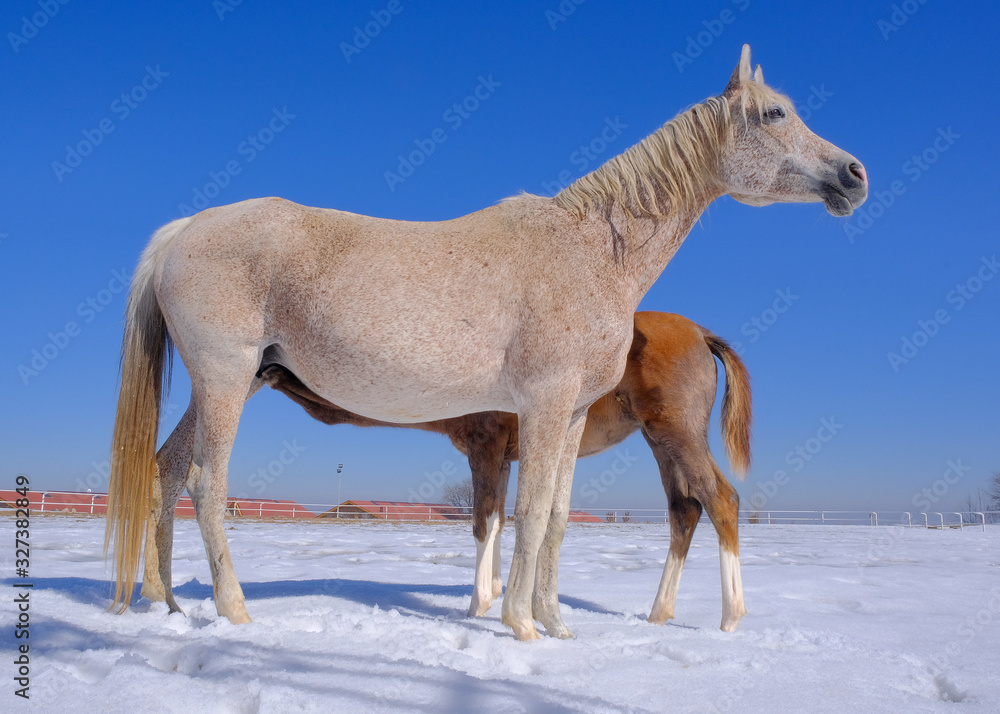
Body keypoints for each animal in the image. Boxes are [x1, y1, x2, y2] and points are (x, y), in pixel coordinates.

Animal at [257, 312, 752, 631]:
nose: (263, 365)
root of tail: (700, 333)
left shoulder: (486, 446)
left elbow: (483, 521)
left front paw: (478, 607)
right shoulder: (504, 456)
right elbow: (498, 520)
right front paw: (495, 595)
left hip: (677, 432)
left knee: (721, 499)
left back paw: (730, 617)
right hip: (660, 441)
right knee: (684, 509)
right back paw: (658, 613)